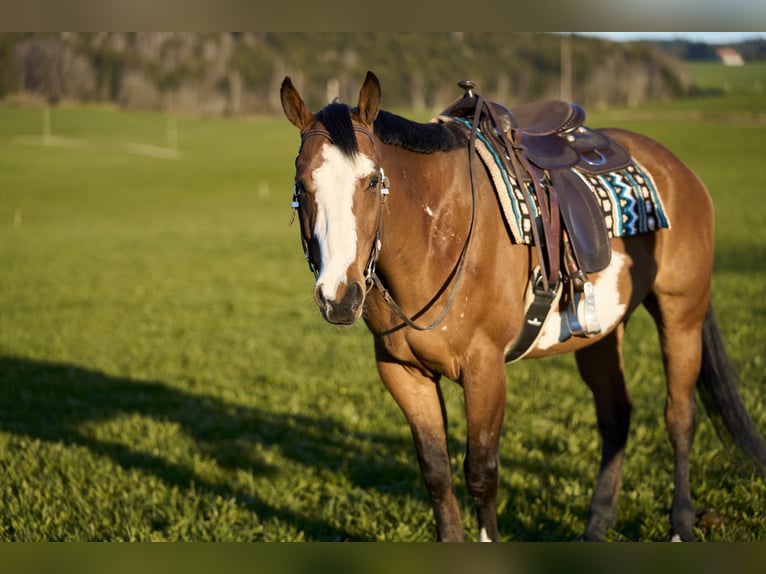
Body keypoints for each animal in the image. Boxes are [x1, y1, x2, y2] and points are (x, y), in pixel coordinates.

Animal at [280, 70, 766, 541]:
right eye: (302, 186)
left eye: (374, 181)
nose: (339, 297)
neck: (436, 235)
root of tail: (675, 168)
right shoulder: (403, 373)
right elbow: (436, 473)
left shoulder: (485, 369)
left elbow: (481, 473)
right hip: (600, 336)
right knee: (616, 417)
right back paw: (596, 527)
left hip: (681, 314)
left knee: (680, 418)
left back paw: (681, 525)